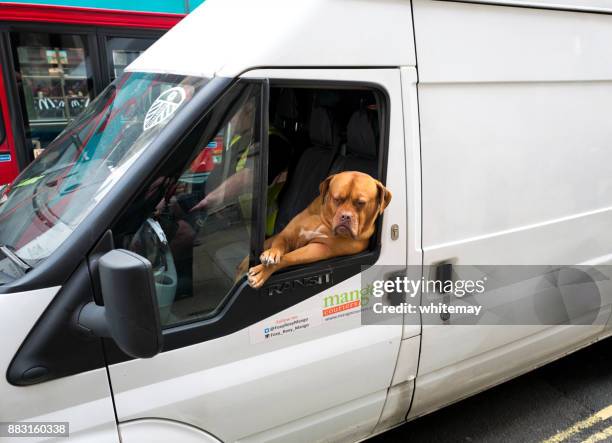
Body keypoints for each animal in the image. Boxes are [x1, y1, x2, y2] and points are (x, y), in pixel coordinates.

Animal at [247, 172, 392, 290]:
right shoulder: (287, 234)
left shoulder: (319, 249)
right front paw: (271, 253)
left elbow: (289, 257)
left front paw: (262, 272)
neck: (324, 219)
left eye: (361, 203)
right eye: (337, 199)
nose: (346, 216)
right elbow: (279, 244)